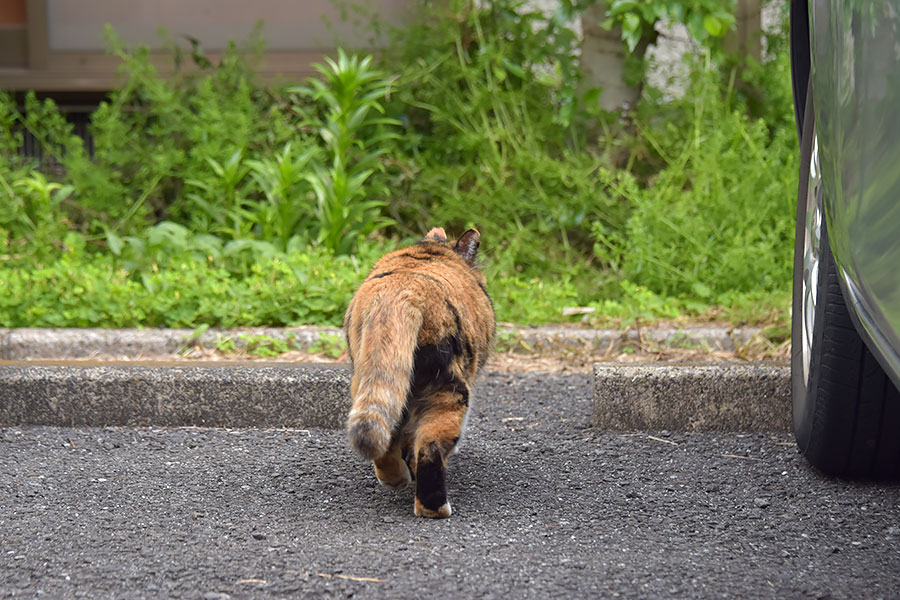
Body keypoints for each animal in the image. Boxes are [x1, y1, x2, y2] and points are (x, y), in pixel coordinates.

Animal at [342, 227, 496, 516]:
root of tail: (401, 292)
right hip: (448, 389)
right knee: (430, 447)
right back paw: (434, 508)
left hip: (369, 381)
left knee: (385, 435)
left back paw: (396, 479)